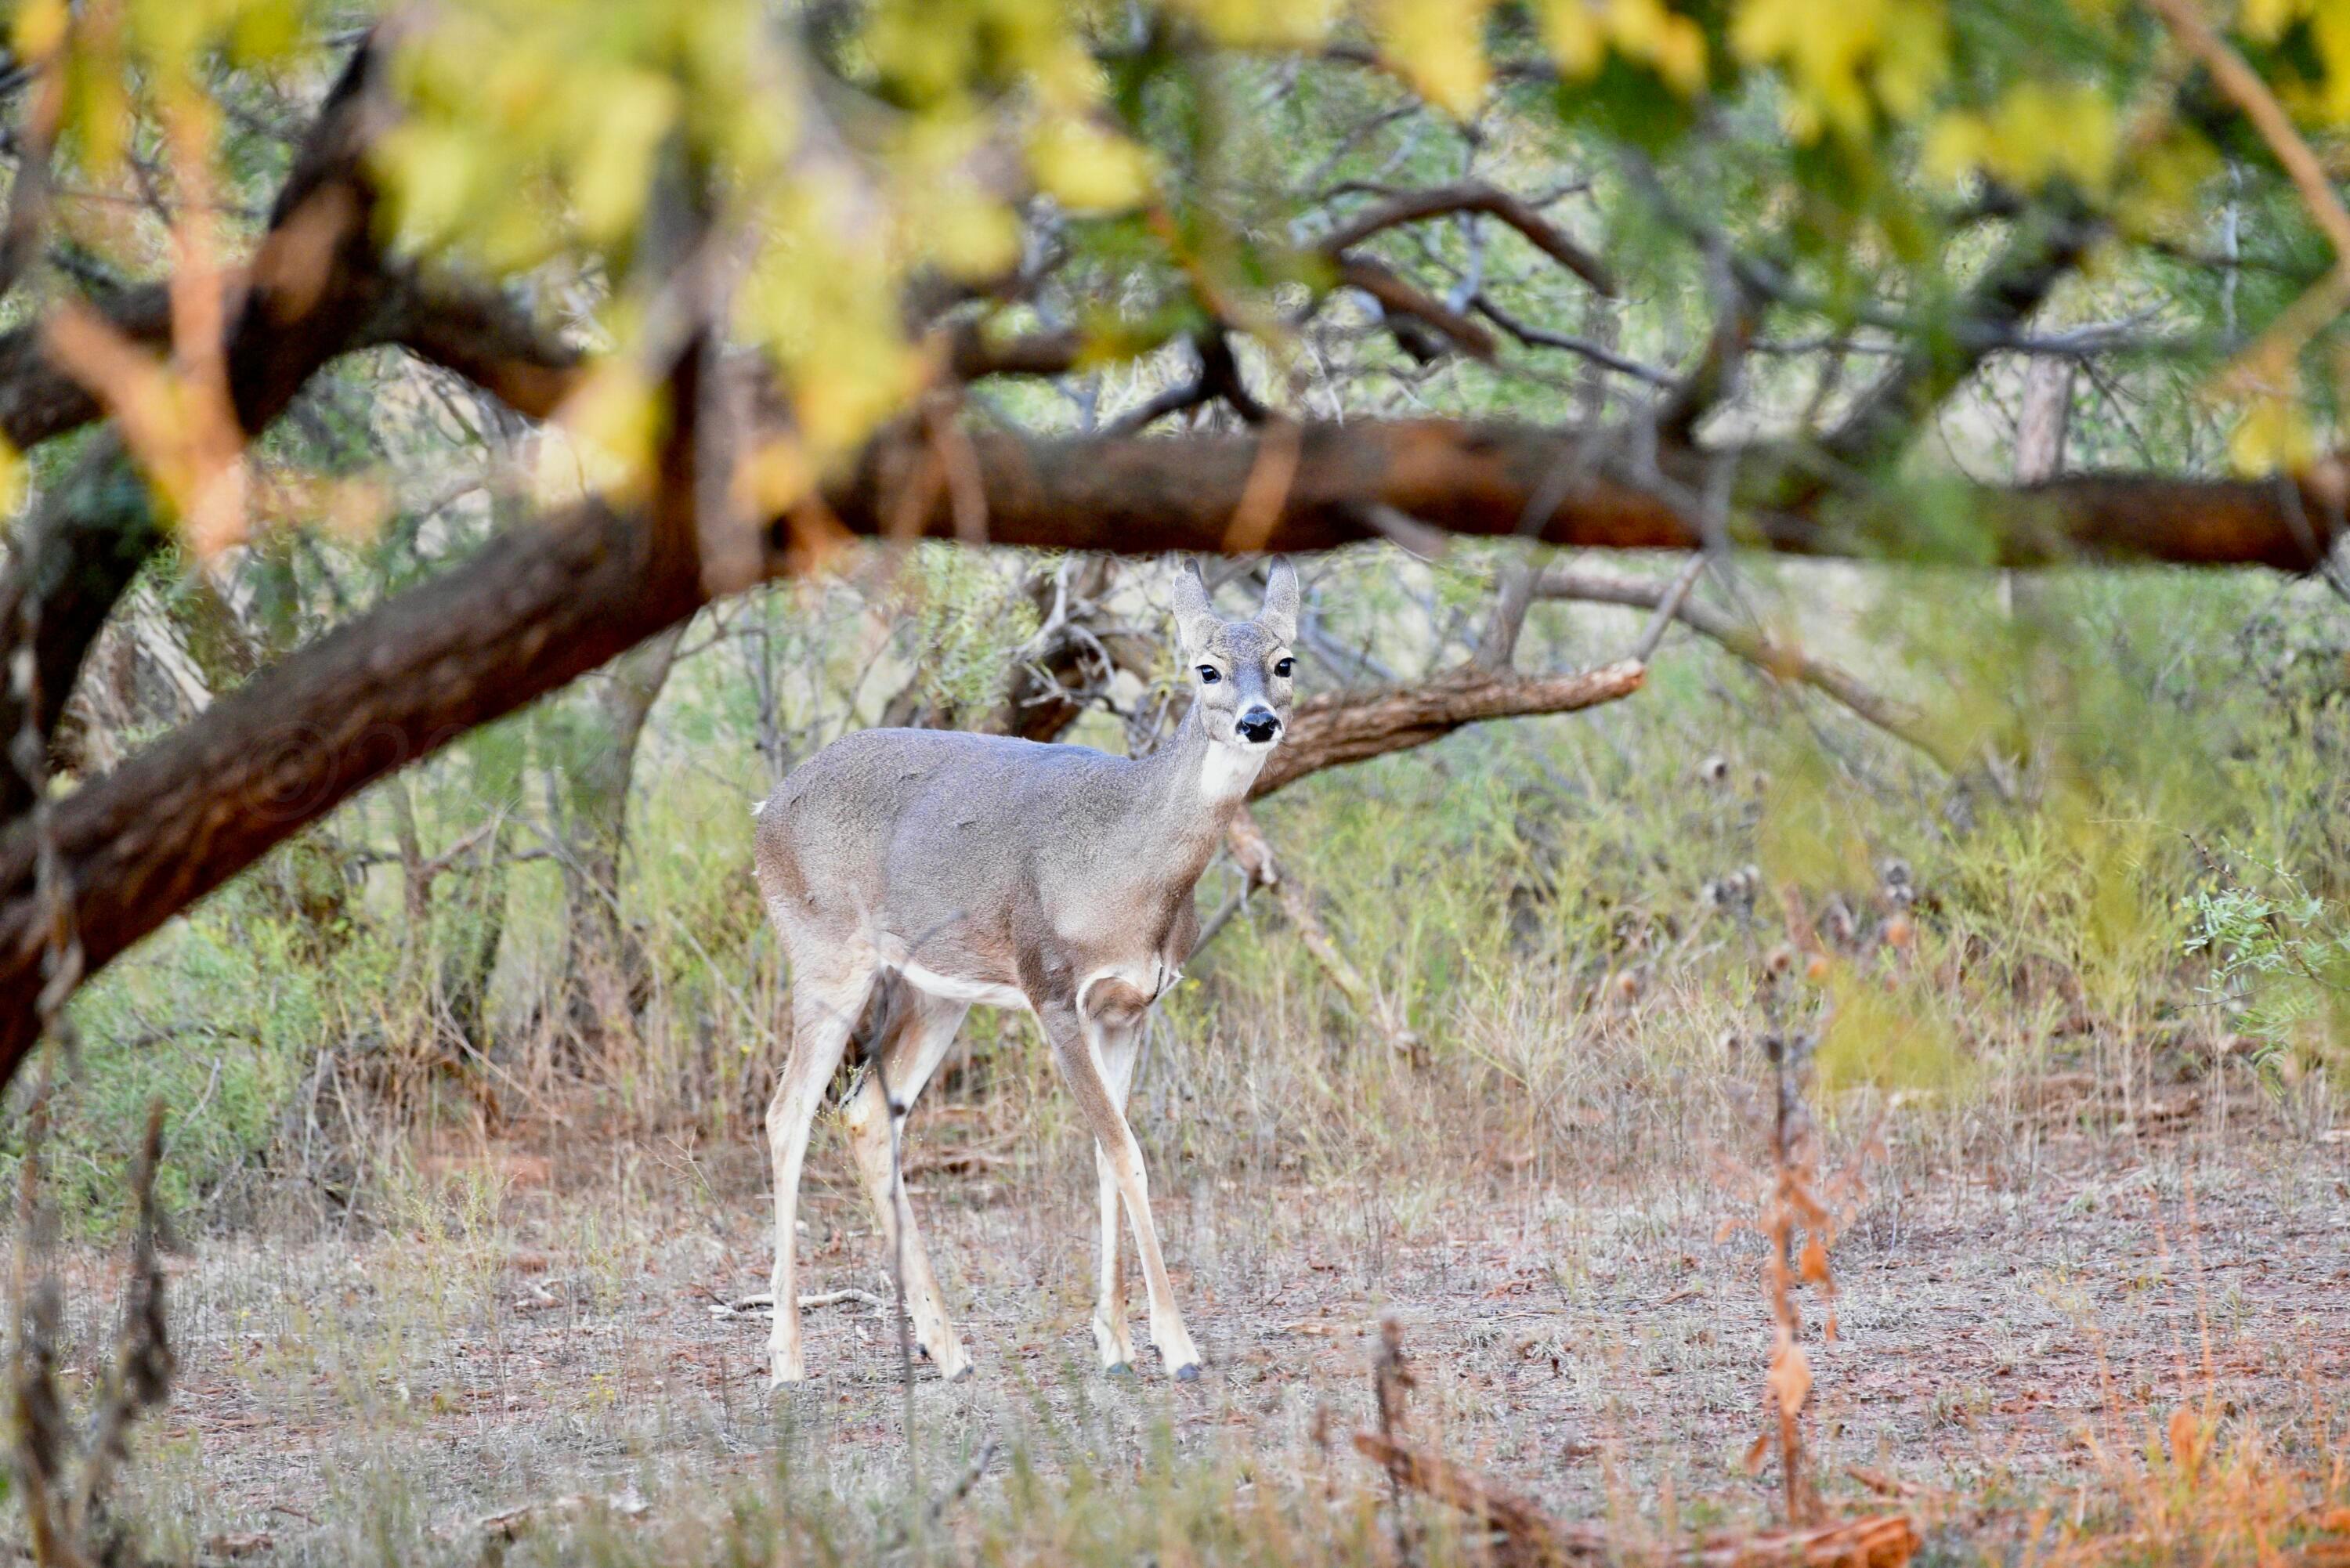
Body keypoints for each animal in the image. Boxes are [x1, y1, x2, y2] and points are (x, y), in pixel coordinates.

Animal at [752, 555, 1307, 1382]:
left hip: (935, 990)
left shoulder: (1130, 1007)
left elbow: (1109, 1154)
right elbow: (1128, 1153)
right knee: (788, 1112)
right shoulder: (1052, 989)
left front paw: (1113, 1339)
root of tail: (764, 812)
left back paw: (947, 1348)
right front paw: (1175, 1346)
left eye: (1284, 663)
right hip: (825, 954)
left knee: (863, 1112)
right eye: (1205, 668)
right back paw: (788, 1358)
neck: (1127, 870)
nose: (1258, 721)